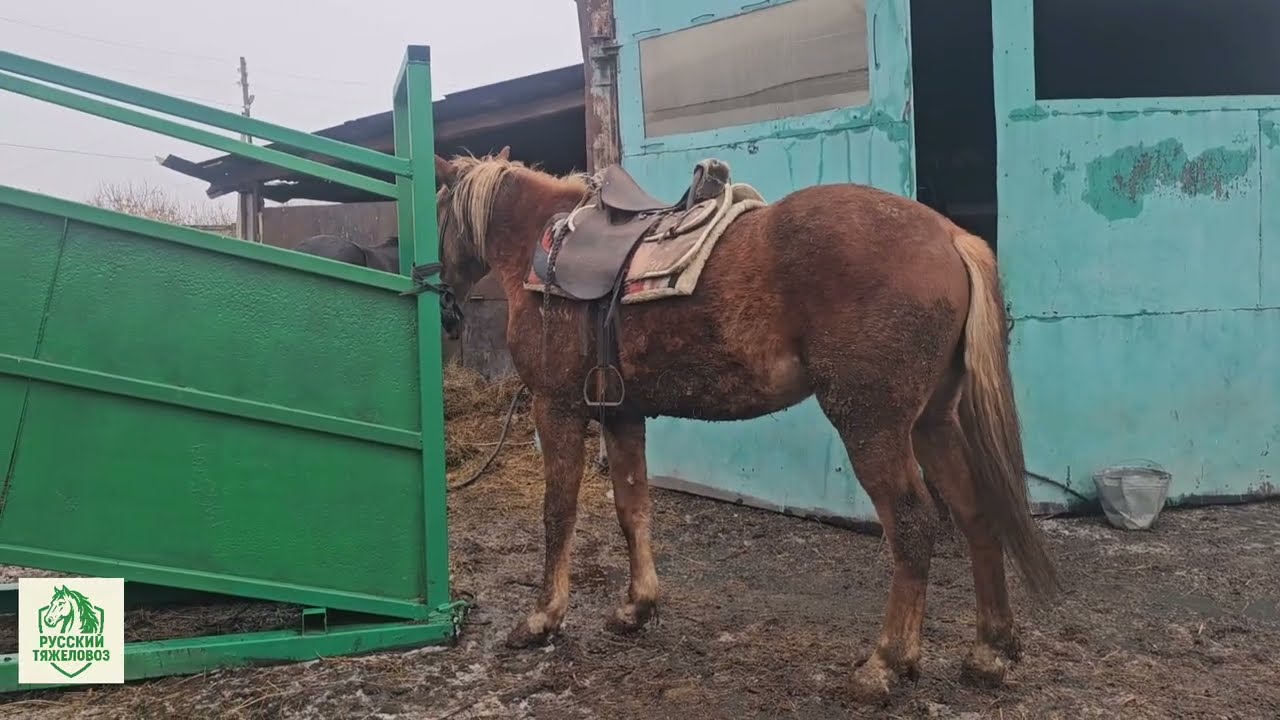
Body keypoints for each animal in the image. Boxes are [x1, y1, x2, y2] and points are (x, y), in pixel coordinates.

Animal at [429, 147, 1059, 704]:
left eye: (431, 213)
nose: (445, 315)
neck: (545, 246)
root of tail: (950, 237)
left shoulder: (555, 407)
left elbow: (558, 513)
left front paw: (541, 619)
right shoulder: (622, 414)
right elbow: (632, 509)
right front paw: (637, 607)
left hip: (873, 424)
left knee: (912, 524)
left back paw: (885, 663)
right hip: (932, 422)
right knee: (975, 513)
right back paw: (990, 651)